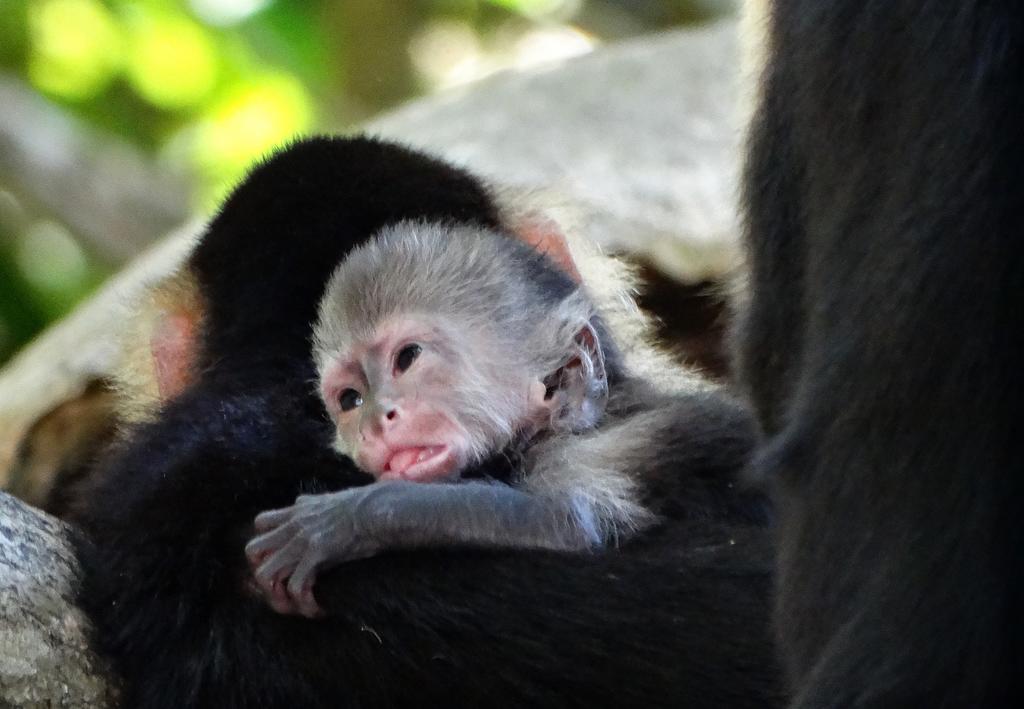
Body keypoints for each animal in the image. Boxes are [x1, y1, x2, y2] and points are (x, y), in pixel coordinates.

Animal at [251, 221, 724, 614]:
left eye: (408, 358)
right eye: (350, 399)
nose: (375, 421)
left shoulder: (582, 451)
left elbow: (567, 524)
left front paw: (343, 519)